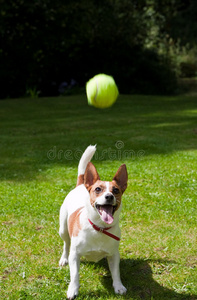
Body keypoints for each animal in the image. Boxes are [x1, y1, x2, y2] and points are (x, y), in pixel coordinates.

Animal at [58, 145, 127, 298]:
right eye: (98, 189)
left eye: (116, 190)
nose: (109, 196)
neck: (99, 228)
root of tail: (80, 185)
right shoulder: (75, 255)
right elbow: (75, 275)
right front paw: (73, 289)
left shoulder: (114, 254)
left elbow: (116, 272)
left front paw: (118, 286)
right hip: (63, 230)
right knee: (66, 244)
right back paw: (63, 258)